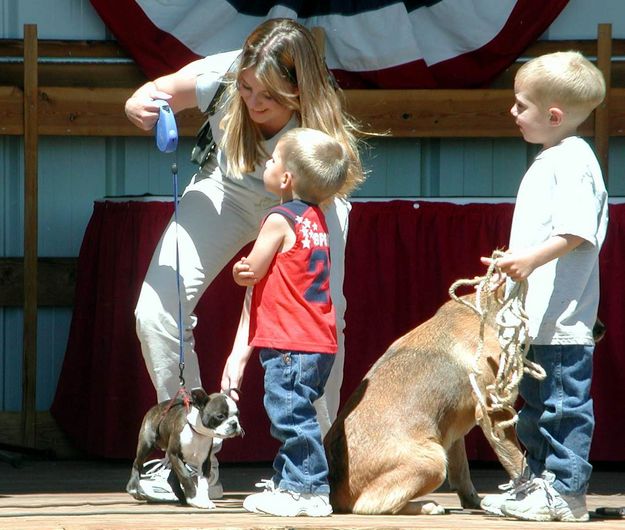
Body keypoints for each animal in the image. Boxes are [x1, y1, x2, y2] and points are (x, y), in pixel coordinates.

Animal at [324, 288, 524, 512]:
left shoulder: (453, 430)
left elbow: (461, 471)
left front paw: (473, 501)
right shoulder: (494, 409)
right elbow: (518, 461)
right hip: (434, 460)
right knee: (370, 506)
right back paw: (428, 506)